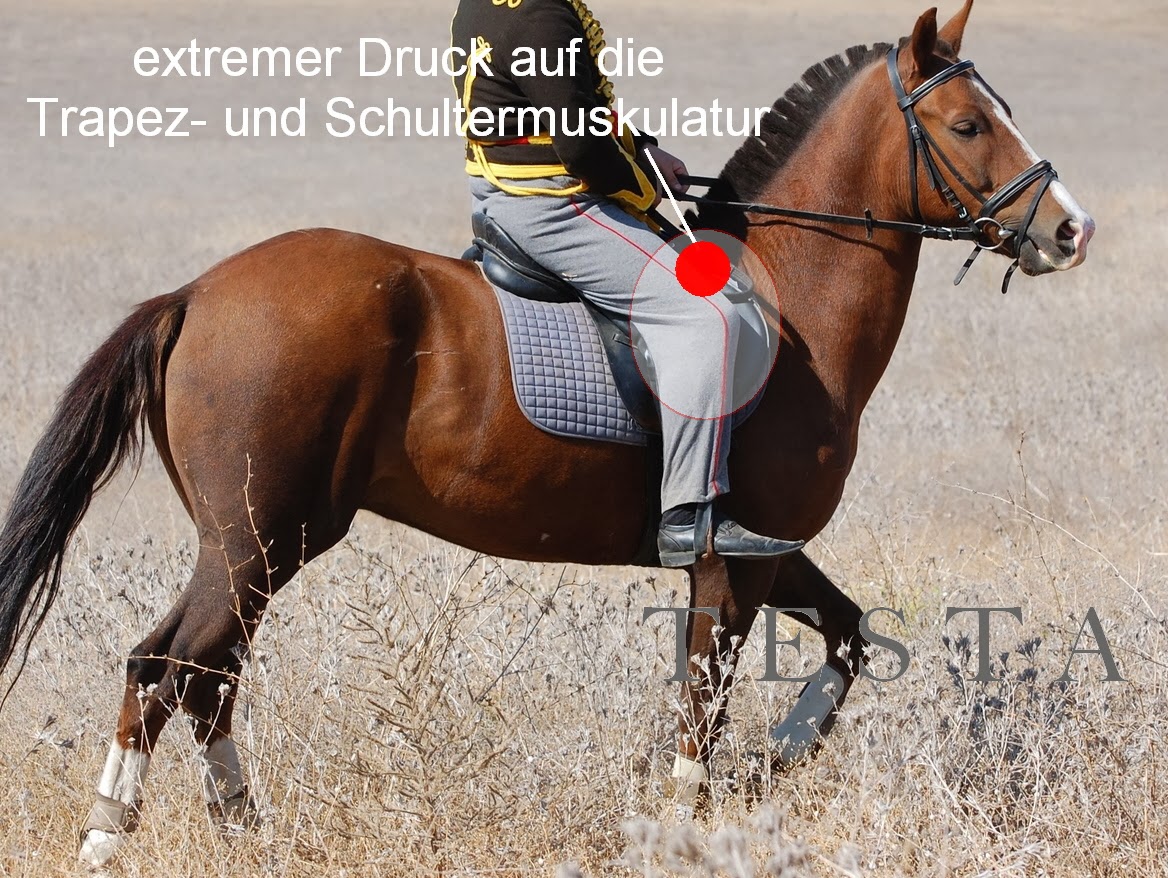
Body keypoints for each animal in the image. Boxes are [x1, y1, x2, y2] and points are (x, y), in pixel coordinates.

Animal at [0, 1, 1093, 866]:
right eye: (967, 123)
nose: (1069, 229)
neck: (788, 296)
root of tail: (197, 291)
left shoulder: (775, 552)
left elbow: (851, 640)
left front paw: (773, 761)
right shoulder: (728, 561)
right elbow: (702, 707)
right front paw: (684, 825)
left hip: (264, 543)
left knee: (206, 675)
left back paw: (244, 830)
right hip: (257, 537)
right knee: (164, 668)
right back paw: (108, 839)